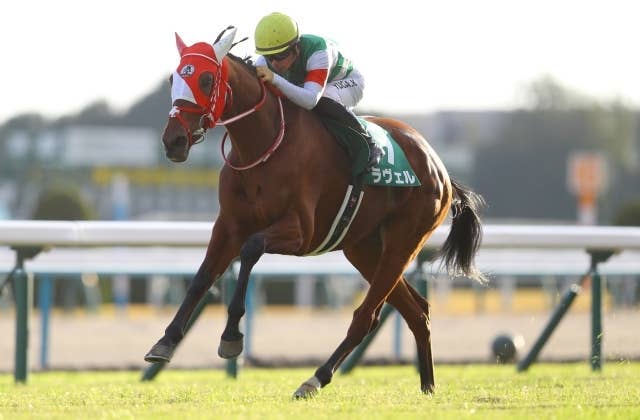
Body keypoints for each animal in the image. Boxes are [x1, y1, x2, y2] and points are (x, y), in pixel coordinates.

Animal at [144, 27, 486, 398]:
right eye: (173, 78)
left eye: (206, 79)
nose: (173, 141)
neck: (263, 145)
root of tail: (439, 165)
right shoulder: (229, 225)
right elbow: (202, 277)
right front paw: (165, 342)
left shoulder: (301, 232)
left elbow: (251, 249)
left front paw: (231, 336)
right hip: (364, 249)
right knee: (417, 312)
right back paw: (427, 386)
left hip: (403, 242)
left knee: (367, 317)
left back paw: (315, 378)